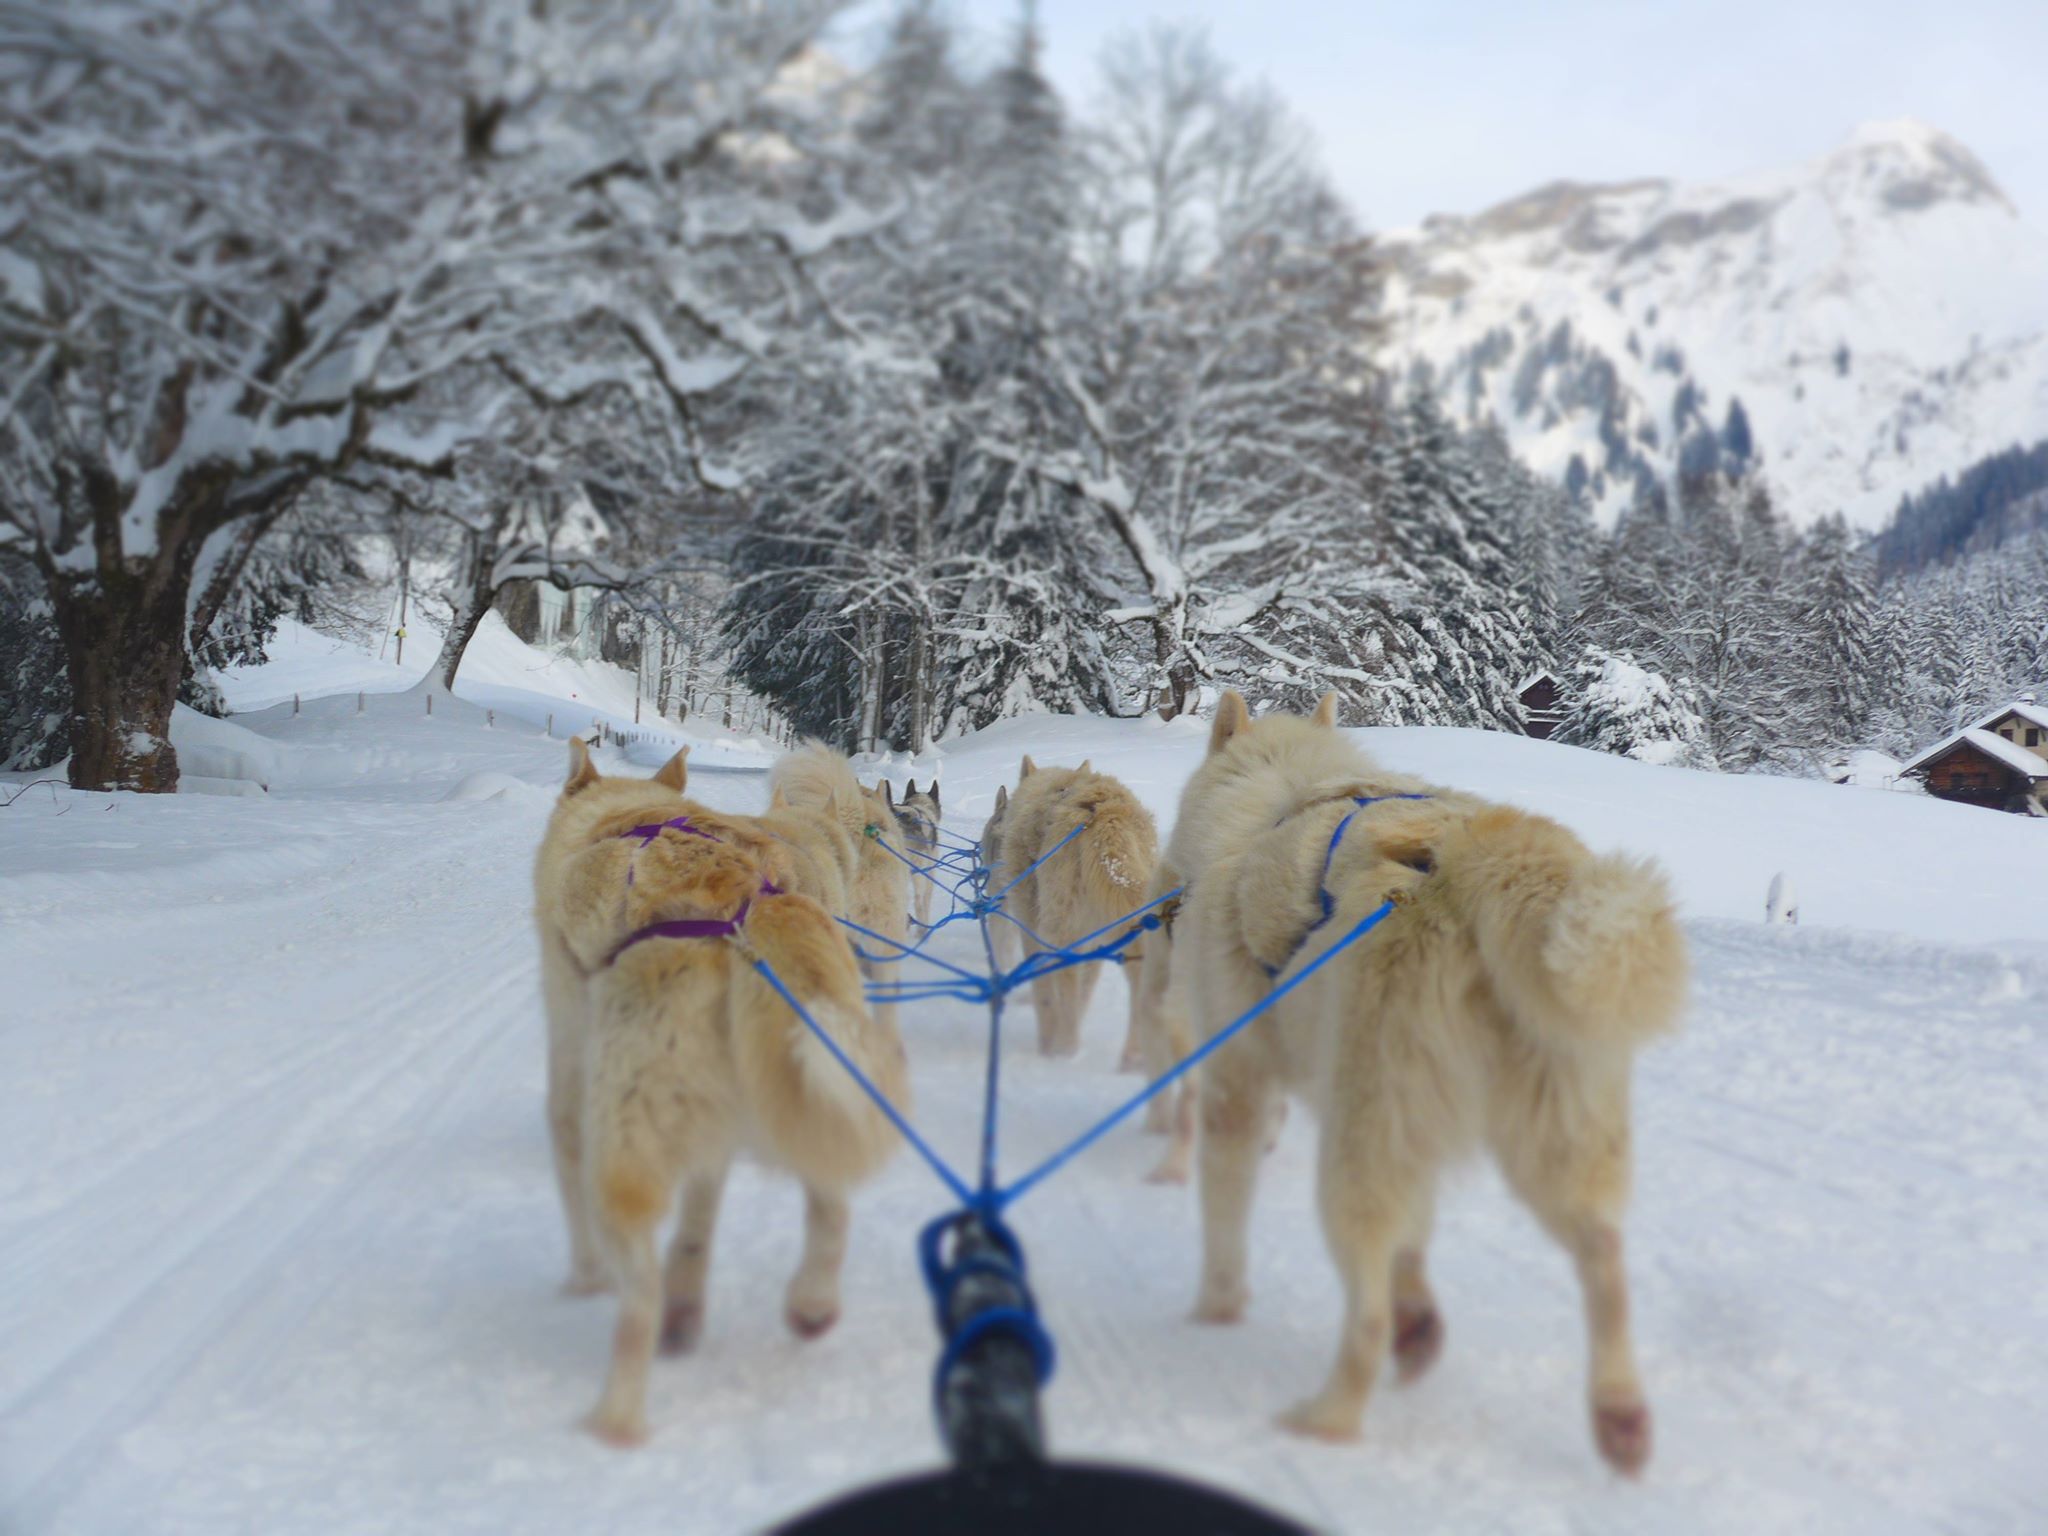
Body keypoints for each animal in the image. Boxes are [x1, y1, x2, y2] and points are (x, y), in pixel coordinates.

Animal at [536, 741, 905, 1449]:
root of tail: (745, 912)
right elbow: (697, 1227)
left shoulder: (571, 1062)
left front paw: (583, 1281)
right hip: (810, 1085)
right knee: (830, 1205)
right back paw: (807, 1304)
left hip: (627, 1144)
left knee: (638, 1302)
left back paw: (613, 1421)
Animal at [974, 757, 1155, 1056]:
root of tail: (1105, 811)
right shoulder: (1093, 942)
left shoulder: (1030, 928)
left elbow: (1045, 991)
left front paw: (1048, 1041)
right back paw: (1134, 1055)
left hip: (1060, 929)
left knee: (1066, 990)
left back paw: (1064, 1049)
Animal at [1171, 692, 1679, 1474]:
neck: (1277, 794)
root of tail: (1466, 859)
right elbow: (1415, 1243)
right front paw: (1422, 1323)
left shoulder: (1239, 1087)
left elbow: (1227, 1224)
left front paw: (1213, 1312)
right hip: (1552, 1139)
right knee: (1604, 1263)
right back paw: (1619, 1415)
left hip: (1359, 1145)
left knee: (1366, 1314)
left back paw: (1328, 1416)